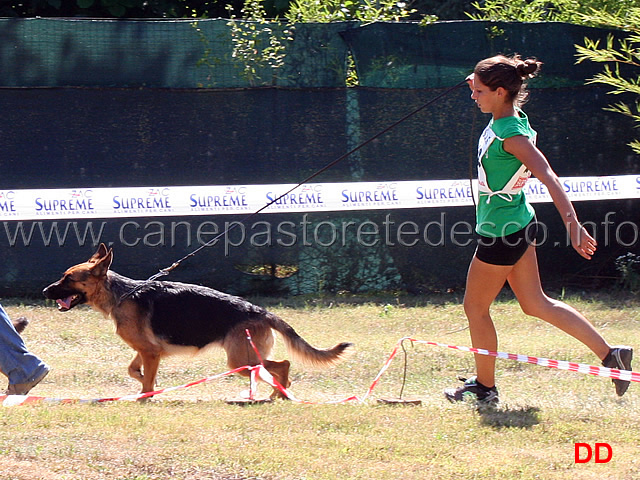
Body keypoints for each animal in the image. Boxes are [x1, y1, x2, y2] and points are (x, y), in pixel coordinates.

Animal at [43, 244, 356, 398]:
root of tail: (260, 311)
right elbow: (134, 370)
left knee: (283, 364)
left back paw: (279, 391)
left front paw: (147, 395)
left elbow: (145, 383)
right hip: (244, 360)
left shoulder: (150, 352)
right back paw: (277, 393)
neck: (121, 293)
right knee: (277, 367)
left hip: (239, 360)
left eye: (68, 279)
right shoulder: (147, 351)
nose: (45, 291)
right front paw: (147, 383)